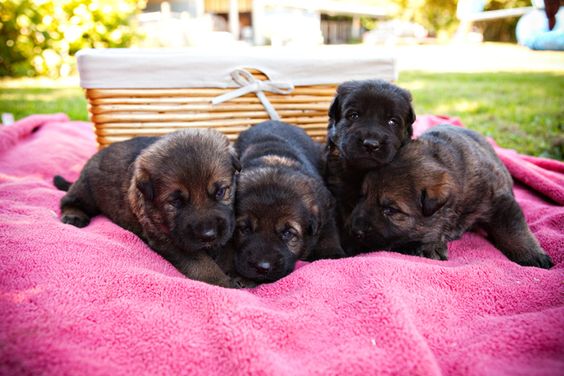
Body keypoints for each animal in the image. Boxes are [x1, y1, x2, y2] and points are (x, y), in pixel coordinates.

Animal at [53, 129, 245, 288]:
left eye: (220, 191)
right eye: (176, 201)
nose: (208, 235)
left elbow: (227, 249)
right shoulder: (170, 240)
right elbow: (201, 263)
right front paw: (222, 282)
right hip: (87, 189)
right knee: (68, 200)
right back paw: (73, 215)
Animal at [231, 120, 346, 282]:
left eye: (287, 233)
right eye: (245, 228)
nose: (262, 267)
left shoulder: (326, 210)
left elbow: (328, 235)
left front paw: (331, 255)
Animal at [346, 122, 552, 268]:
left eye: (390, 210)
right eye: (361, 196)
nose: (354, 231)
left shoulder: (499, 200)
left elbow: (513, 228)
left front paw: (531, 254)